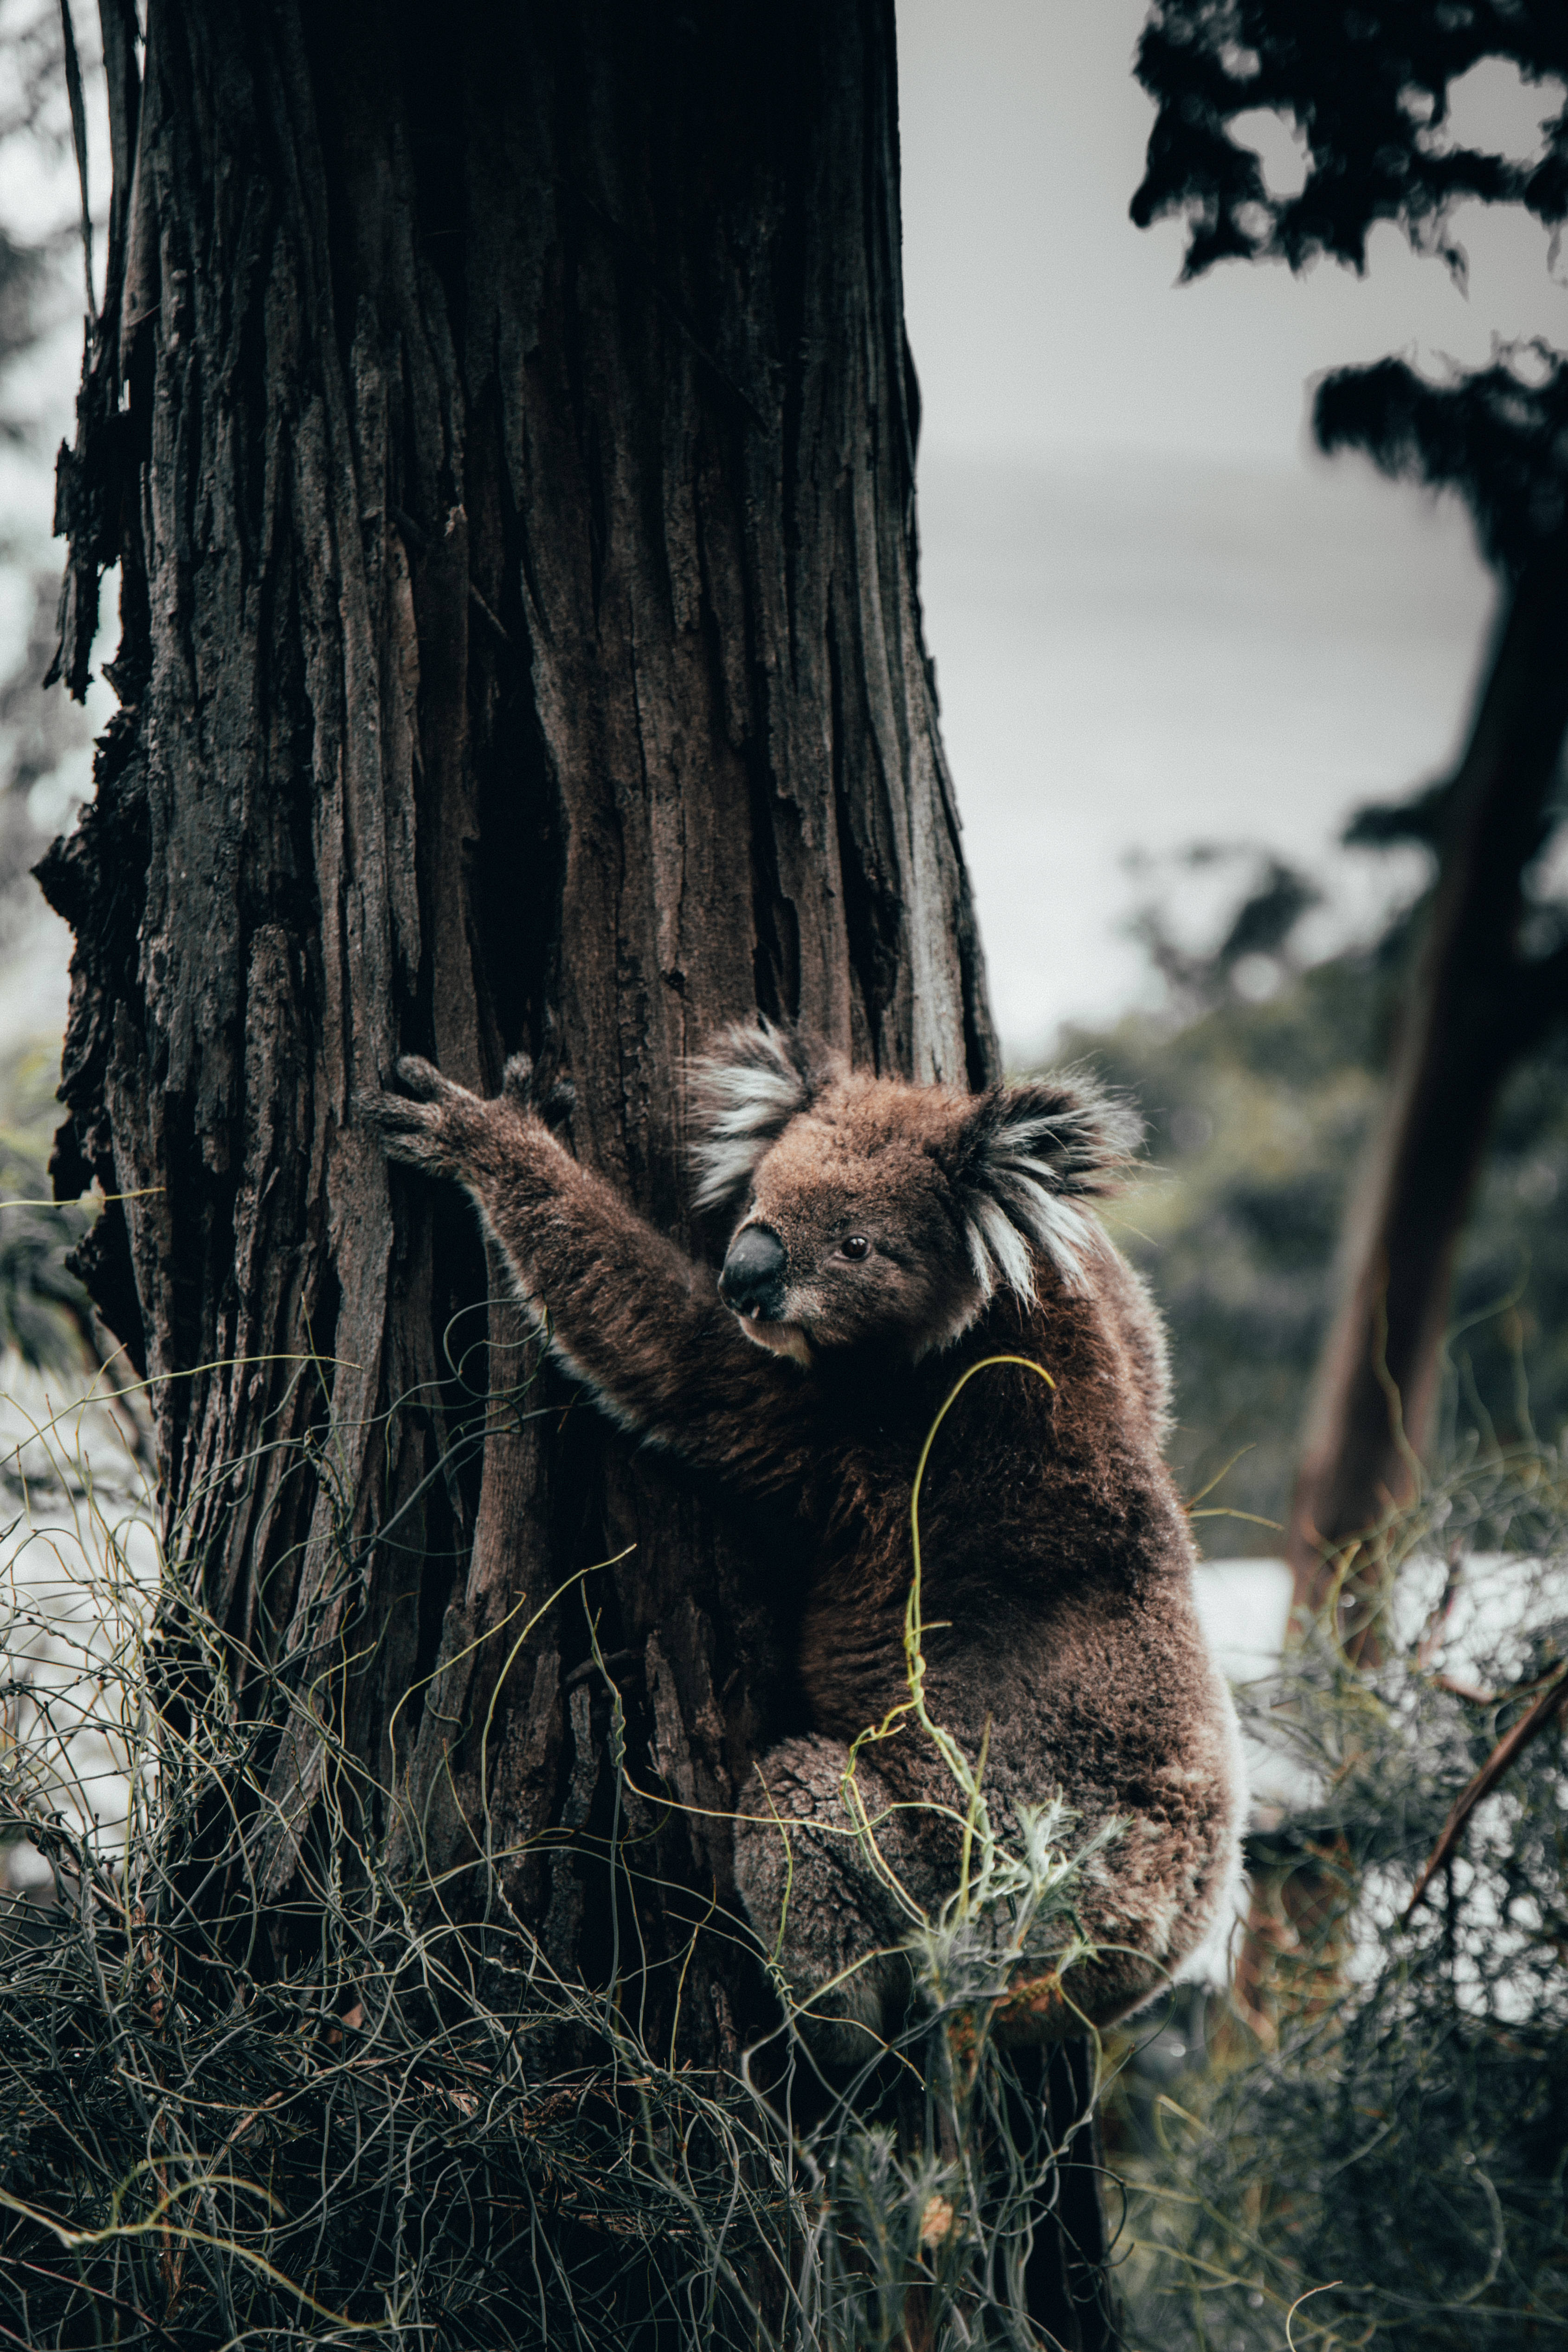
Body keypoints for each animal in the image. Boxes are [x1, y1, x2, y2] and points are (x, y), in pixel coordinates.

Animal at [366, 1021, 1244, 2057]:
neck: (978, 1327)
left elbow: (661, 1348)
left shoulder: (840, 1432)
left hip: (944, 1880)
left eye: (854, 1244)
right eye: (759, 1199)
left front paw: (479, 1127)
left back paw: (806, 2033)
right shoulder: (1114, 1331)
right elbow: (1137, 1323)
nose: (746, 1275)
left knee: (809, 1828)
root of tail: (1133, 1951)